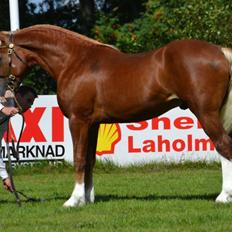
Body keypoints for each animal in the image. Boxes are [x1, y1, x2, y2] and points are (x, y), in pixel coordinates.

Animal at [0, 24, 232, 207]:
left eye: (0, 54)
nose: (7, 92)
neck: (74, 61)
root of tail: (220, 52)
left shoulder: (78, 120)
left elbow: (78, 158)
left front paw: (73, 200)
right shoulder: (92, 124)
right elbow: (90, 160)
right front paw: (87, 199)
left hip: (205, 113)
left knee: (223, 145)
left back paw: (223, 197)